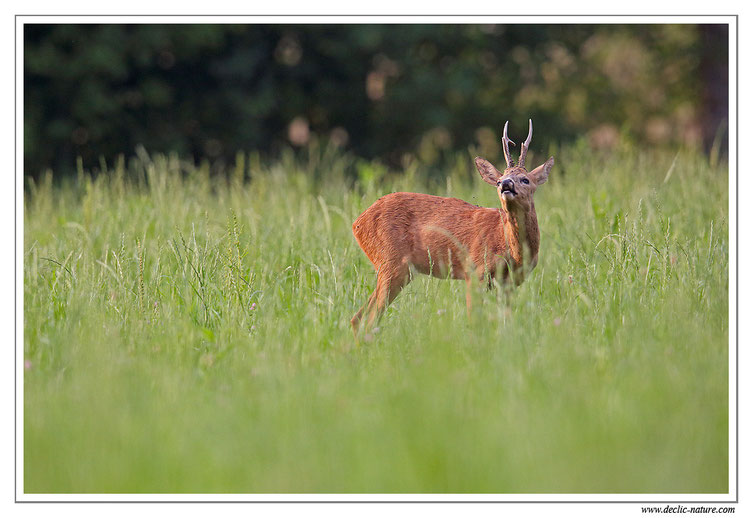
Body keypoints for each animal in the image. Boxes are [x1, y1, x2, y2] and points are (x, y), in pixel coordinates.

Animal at [348, 121, 552, 340]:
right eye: (499, 180)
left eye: (525, 179)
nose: (506, 184)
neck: (512, 251)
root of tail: (357, 223)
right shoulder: (475, 271)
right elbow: (475, 321)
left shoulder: (509, 283)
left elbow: (506, 322)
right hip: (391, 262)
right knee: (368, 318)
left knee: (359, 318)